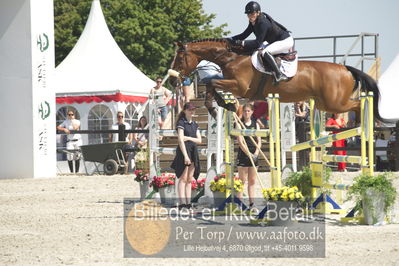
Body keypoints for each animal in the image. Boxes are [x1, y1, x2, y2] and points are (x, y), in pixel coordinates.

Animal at [170, 37, 388, 122]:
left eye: (180, 58)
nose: (172, 81)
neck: (231, 57)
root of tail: (345, 68)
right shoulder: (232, 85)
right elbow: (211, 85)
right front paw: (224, 106)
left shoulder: (241, 87)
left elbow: (212, 83)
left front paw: (219, 108)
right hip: (324, 104)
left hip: (335, 103)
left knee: (357, 105)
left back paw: (361, 127)